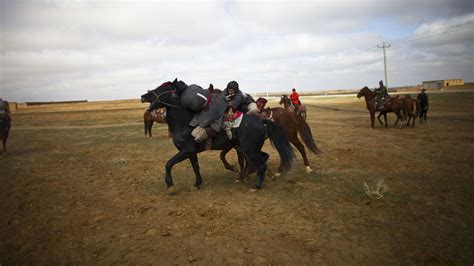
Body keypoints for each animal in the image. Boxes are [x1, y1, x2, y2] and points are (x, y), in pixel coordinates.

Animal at [141, 79, 294, 191]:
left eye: (162, 89)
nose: (143, 96)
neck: (185, 123)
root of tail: (262, 121)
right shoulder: (191, 152)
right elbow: (195, 166)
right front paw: (197, 183)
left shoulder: (186, 151)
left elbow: (168, 164)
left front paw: (169, 184)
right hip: (250, 149)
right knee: (263, 158)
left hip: (250, 149)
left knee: (260, 164)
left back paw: (256, 185)